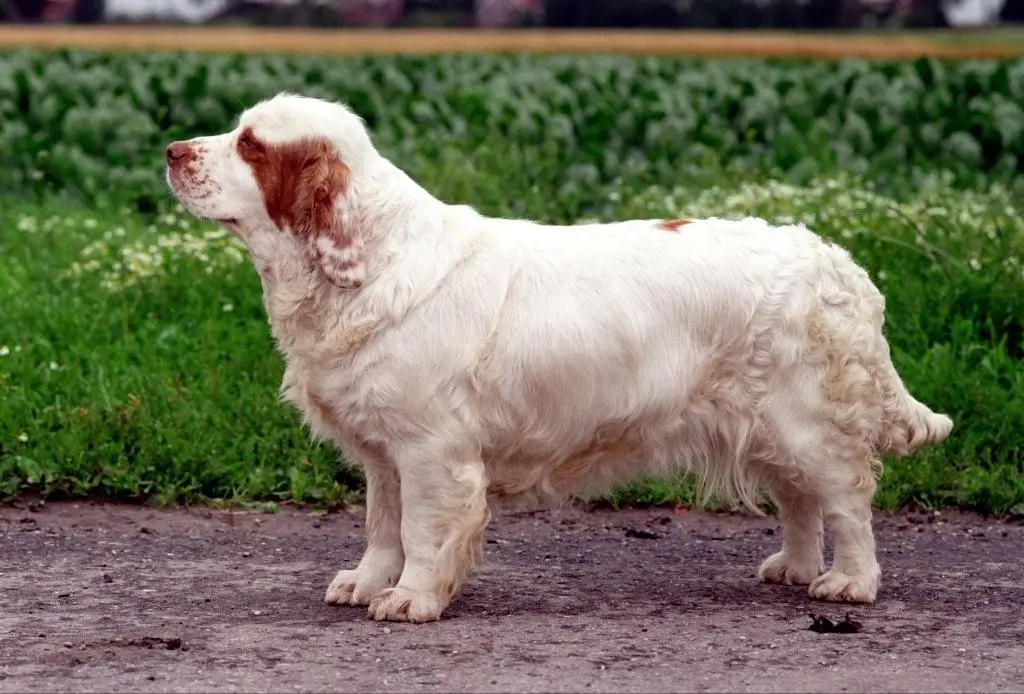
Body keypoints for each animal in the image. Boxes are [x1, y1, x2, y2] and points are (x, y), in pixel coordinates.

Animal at [163, 91, 954, 626]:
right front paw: (366, 582)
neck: (369, 264)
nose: (172, 151)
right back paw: (792, 567)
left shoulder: (430, 451)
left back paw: (849, 582)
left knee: (846, 499)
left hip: (805, 422)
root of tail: (836, 260)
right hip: (764, 424)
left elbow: (422, 531)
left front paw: (412, 598)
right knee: (799, 500)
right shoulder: (385, 455)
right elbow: (382, 527)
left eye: (251, 145)